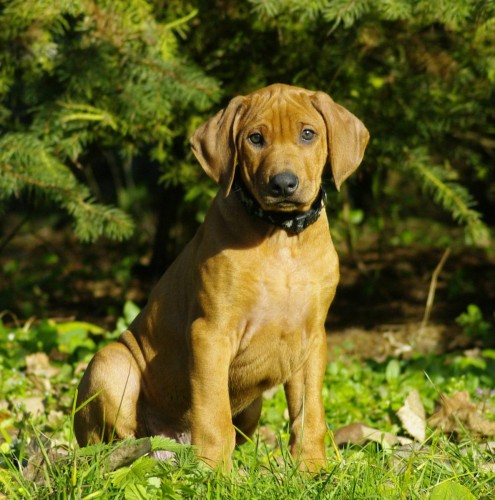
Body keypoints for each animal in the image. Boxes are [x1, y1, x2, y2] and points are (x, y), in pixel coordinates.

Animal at [72, 83, 368, 472]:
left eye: (308, 134)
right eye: (255, 138)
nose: (283, 184)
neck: (280, 235)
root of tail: (170, 445)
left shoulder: (311, 339)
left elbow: (309, 414)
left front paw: (311, 469)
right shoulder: (210, 333)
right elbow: (213, 415)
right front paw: (214, 473)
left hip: (253, 407)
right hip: (112, 367)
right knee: (114, 447)